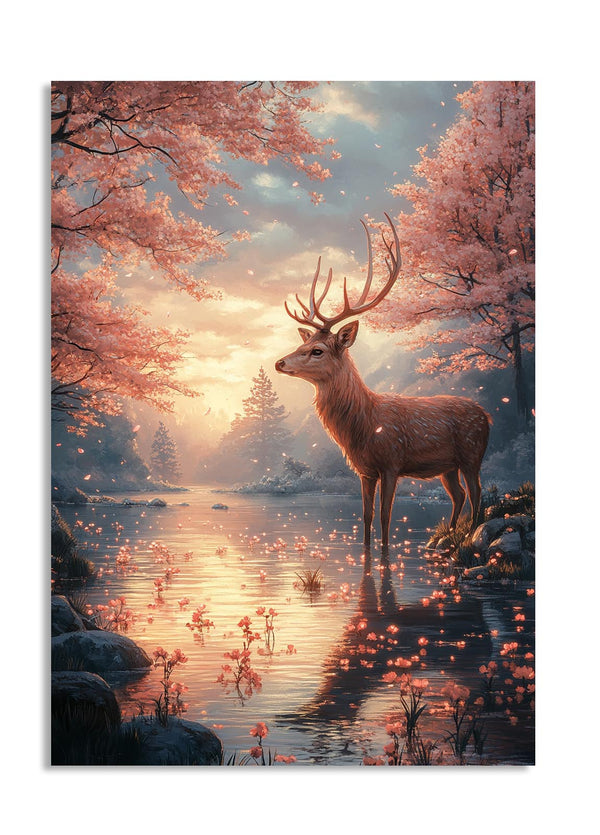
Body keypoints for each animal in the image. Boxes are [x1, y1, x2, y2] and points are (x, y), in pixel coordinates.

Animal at [275, 214, 491, 550]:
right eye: (304, 341)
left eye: (317, 350)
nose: (279, 362)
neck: (363, 425)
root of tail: (487, 416)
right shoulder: (364, 470)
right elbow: (365, 518)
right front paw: (366, 552)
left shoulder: (392, 462)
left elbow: (385, 516)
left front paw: (385, 553)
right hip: (448, 466)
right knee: (458, 495)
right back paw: (439, 540)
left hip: (472, 453)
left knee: (477, 493)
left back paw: (469, 537)